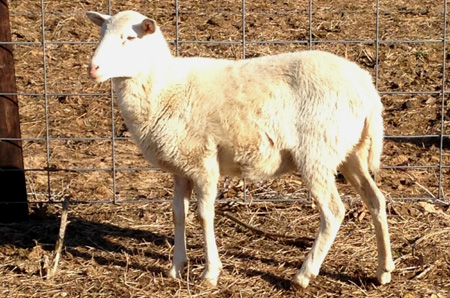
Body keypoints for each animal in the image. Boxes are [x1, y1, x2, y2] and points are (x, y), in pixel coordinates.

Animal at [85, 10, 394, 288]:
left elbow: (204, 215)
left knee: (334, 211)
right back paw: (384, 270)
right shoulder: (181, 167)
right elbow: (178, 214)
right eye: (100, 34)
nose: (93, 68)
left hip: (317, 151)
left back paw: (304, 275)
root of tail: (366, 87)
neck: (164, 88)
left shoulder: (203, 161)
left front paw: (210, 273)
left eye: (129, 38)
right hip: (350, 150)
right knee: (376, 199)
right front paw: (176, 268)